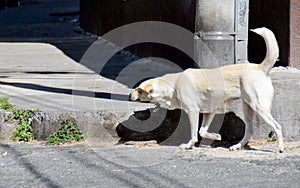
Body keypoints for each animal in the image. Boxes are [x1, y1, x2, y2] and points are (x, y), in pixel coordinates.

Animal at [129, 27, 284, 152]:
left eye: (139, 90)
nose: (130, 95)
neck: (173, 85)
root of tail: (259, 68)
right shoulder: (209, 112)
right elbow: (202, 131)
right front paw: (216, 136)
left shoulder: (193, 111)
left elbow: (194, 134)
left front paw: (188, 145)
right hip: (248, 107)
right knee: (250, 130)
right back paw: (237, 146)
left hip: (259, 106)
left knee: (277, 126)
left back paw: (280, 148)